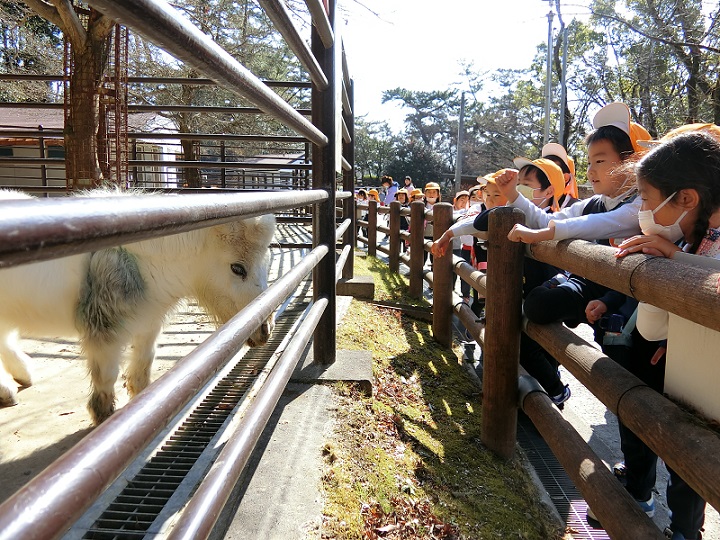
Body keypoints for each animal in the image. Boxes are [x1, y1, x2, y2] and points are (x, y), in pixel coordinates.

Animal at [0, 192, 276, 424]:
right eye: (237, 268)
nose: (265, 331)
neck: (142, 264)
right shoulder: (105, 336)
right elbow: (107, 376)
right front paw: (104, 419)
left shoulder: (148, 323)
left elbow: (144, 364)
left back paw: (21, 378)